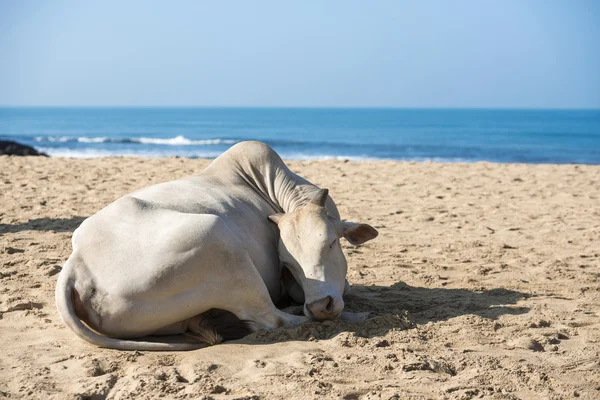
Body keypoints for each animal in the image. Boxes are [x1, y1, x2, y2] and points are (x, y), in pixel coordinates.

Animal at [55, 141, 376, 350]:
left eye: (332, 243)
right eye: (287, 263)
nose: (320, 306)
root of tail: (77, 263)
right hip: (219, 240)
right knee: (270, 319)